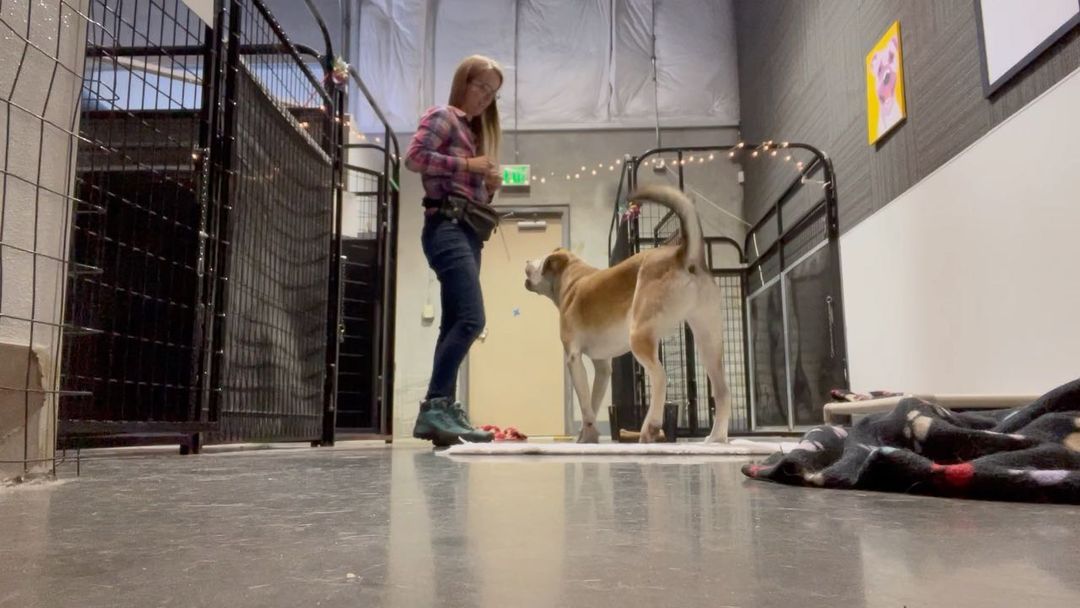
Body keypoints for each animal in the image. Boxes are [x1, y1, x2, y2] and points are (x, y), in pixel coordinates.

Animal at [524, 183, 734, 444]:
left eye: (539, 259)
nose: (526, 261)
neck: (572, 278)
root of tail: (684, 254)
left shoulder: (573, 357)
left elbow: (585, 405)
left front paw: (587, 435)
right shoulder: (603, 367)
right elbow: (592, 402)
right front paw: (587, 436)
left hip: (640, 335)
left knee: (660, 376)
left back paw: (650, 428)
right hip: (708, 341)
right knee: (723, 392)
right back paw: (716, 438)